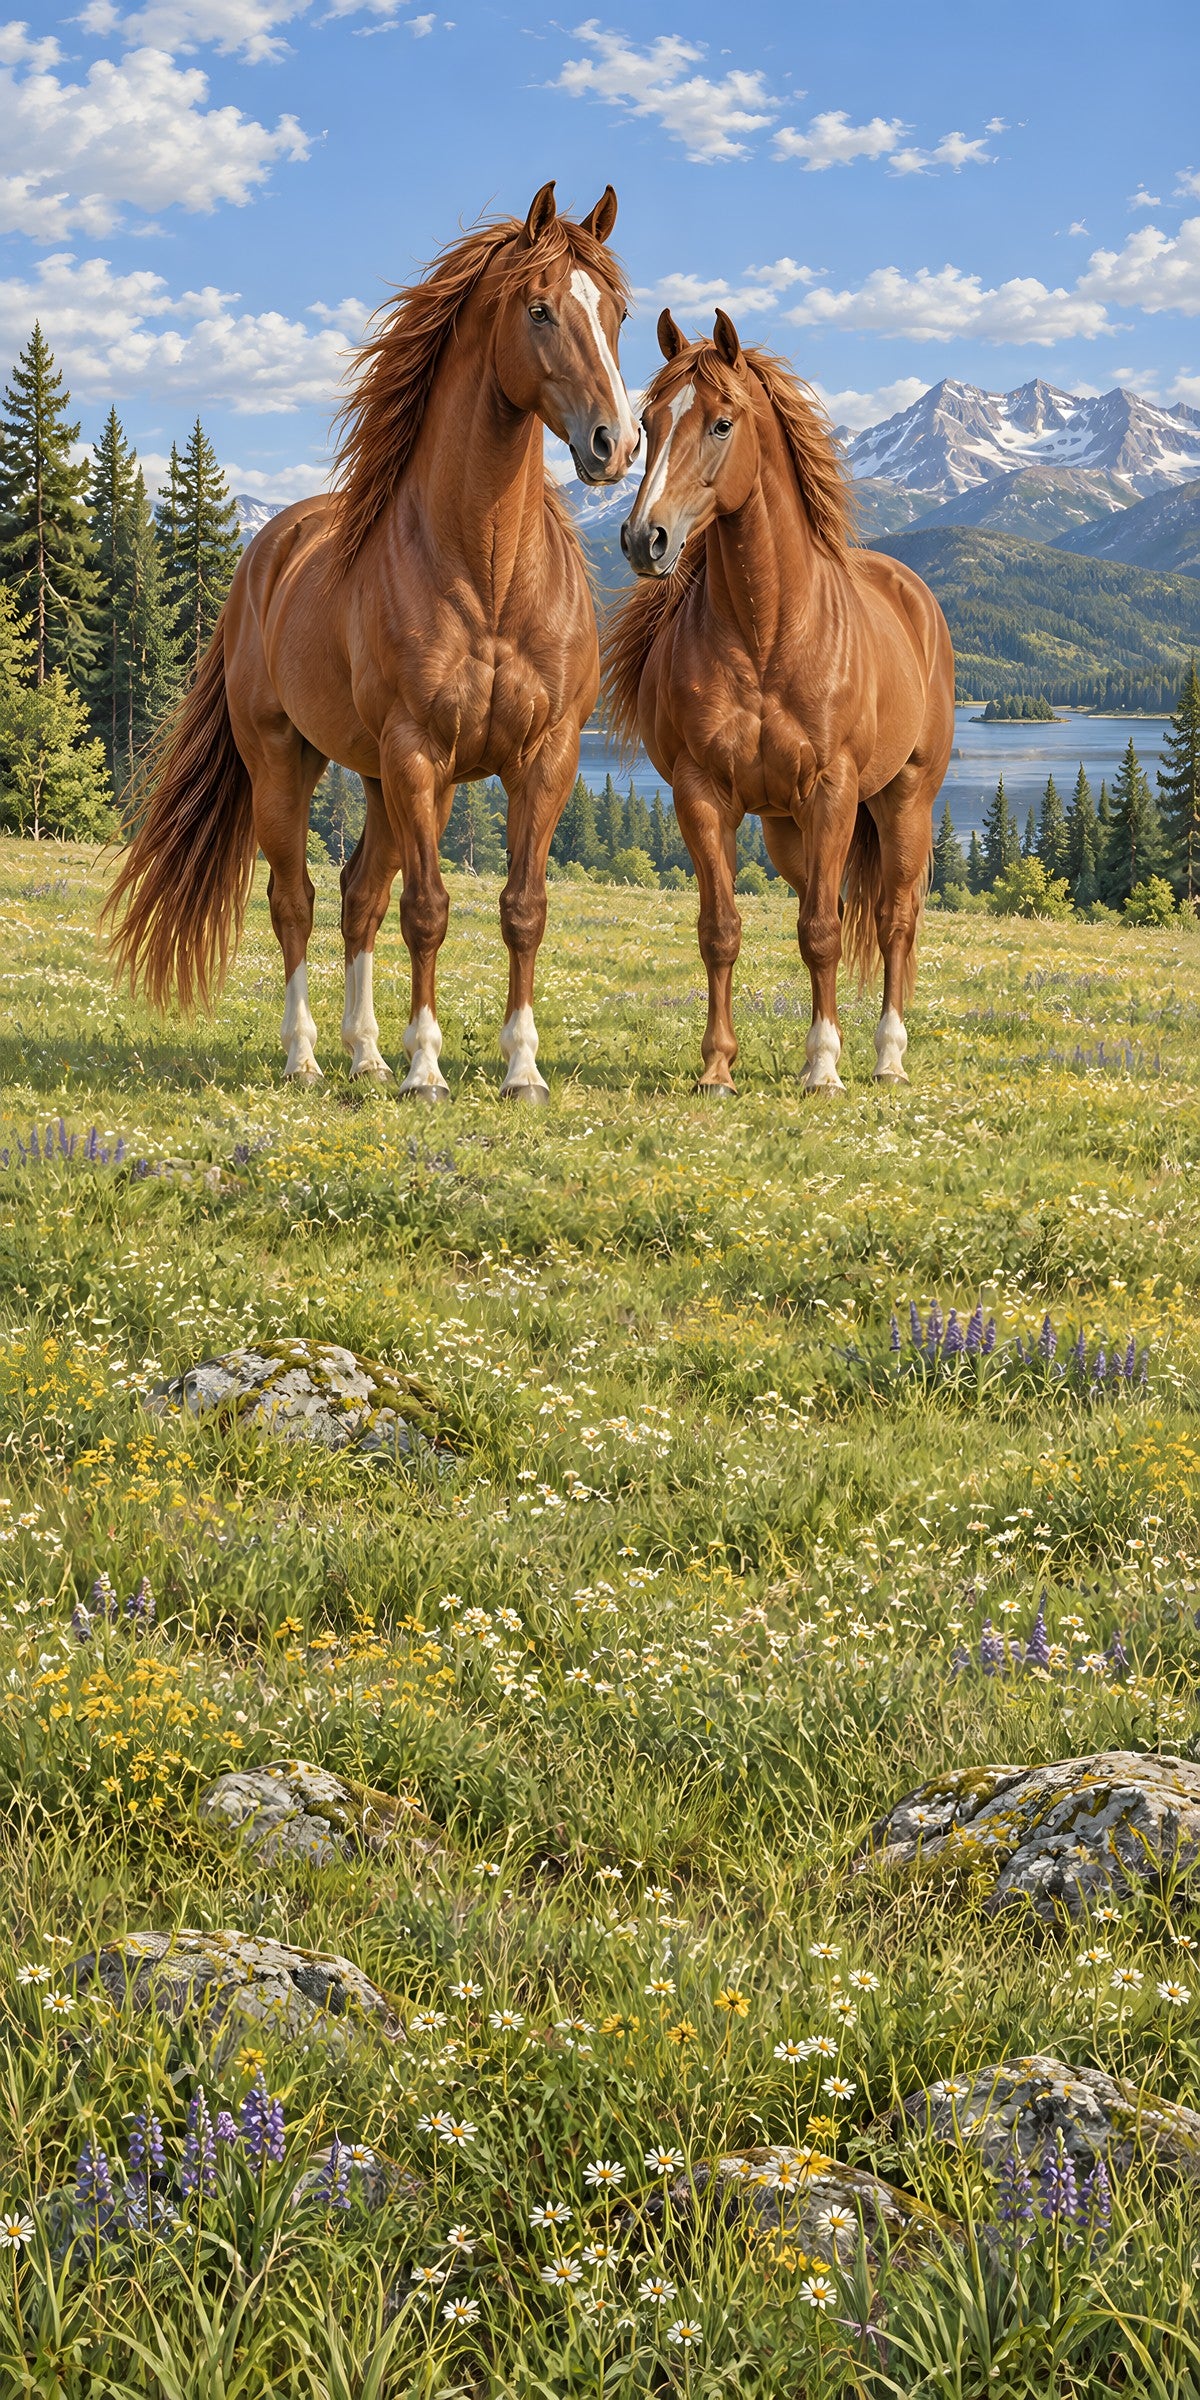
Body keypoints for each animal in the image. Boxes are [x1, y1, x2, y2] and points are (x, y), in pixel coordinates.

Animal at [106, 182, 638, 1101]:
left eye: (619, 313)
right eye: (539, 308)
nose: (616, 442)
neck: (488, 573)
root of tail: (266, 554)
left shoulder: (545, 756)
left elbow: (522, 911)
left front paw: (521, 1070)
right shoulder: (417, 750)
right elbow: (428, 911)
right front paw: (427, 1070)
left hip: (380, 778)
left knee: (359, 895)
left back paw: (366, 1054)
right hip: (288, 762)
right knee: (297, 900)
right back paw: (308, 1056)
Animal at [604, 310, 955, 1095]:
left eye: (721, 422)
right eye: (647, 422)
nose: (645, 539)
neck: (769, 634)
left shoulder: (832, 791)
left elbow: (823, 934)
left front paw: (824, 1067)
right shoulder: (704, 795)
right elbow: (723, 931)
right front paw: (717, 1067)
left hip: (903, 802)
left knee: (893, 920)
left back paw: (887, 1056)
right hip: (787, 830)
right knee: (832, 907)